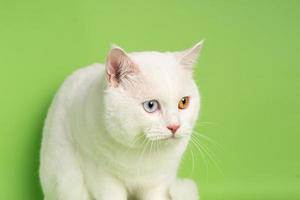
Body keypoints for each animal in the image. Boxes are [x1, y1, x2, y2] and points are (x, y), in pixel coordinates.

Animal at [39, 41, 204, 200]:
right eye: (151, 105)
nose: (175, 126)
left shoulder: (158, 182)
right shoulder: (100, 173)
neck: (141, 153)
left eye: (183, 102)